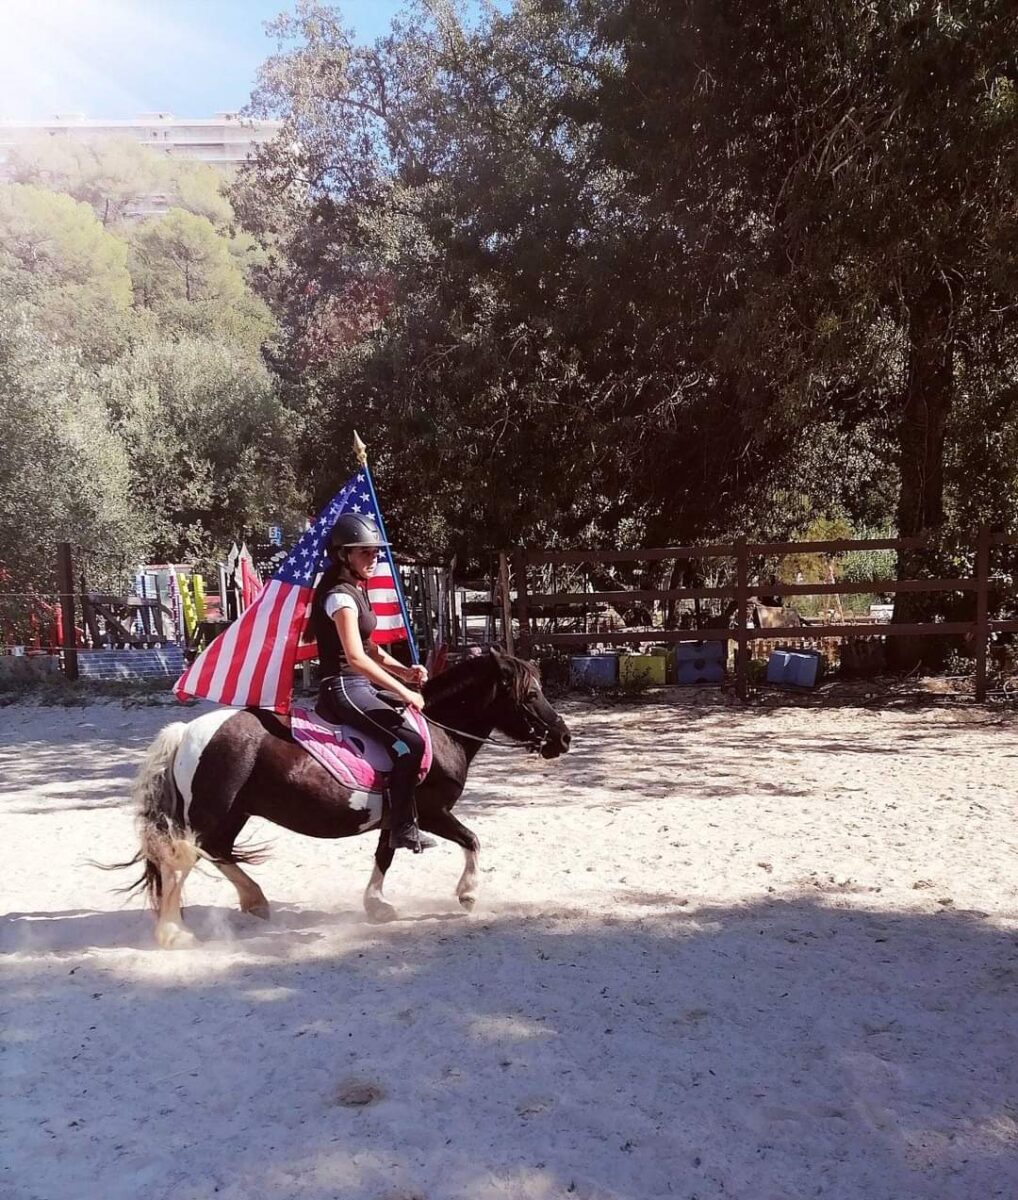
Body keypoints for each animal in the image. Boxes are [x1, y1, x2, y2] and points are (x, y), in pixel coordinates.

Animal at [119, 648, 571, 945]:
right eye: (531, 695)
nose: (563, 738)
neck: (439, 732)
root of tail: (187, 731)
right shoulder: (431, 812)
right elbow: (472, 840)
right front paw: (468, 894)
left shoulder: (398, 817)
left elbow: (385, 854)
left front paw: (376, 905)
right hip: (211, 815)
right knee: (181, 862)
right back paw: (175, 932)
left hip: (232, 815)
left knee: (217, 852)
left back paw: (255, 901)